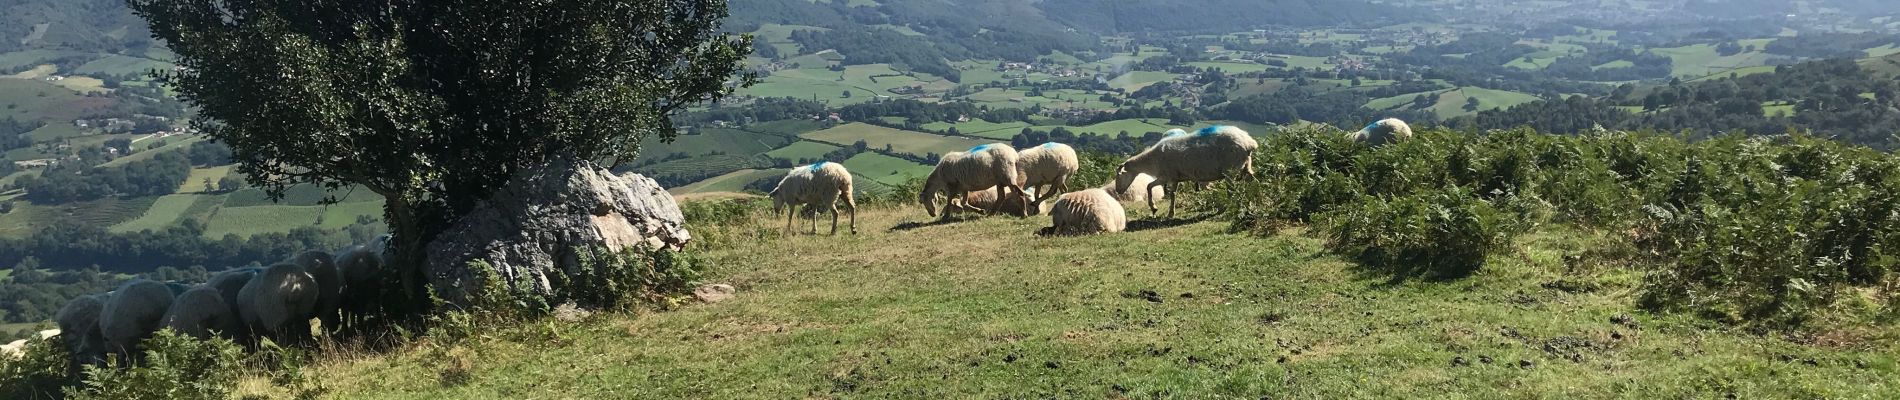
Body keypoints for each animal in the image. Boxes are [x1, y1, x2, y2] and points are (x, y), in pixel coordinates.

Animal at [1109, 125, 1254, 218]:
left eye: (1119, 176)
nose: (1118, 191)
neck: (1152, 160)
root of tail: (1249, 142)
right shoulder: (1174, 178)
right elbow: (1171, 193)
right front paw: (1169, 212)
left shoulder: (1167, 176)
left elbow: (1150, 187)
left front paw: (1155, 208)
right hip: (1246, 166)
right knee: (1253, 181)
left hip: (1230, 170)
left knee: (1232, 190)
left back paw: (1230, 207)